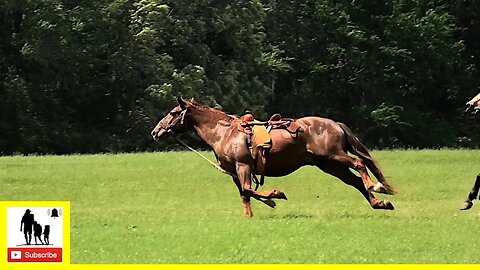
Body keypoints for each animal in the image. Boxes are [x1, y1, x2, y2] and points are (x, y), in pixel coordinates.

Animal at [152, 97, 396, 217]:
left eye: (173, 112)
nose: (155, 132)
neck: (224, 133)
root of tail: (335, 124)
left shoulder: (243, 166)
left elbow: (249, 189)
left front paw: (275, 196)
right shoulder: (234, 172)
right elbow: (245, 194)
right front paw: (250, 215)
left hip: (334, 157)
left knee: (360, 165)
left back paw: (376, 187)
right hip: (329, 165)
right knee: (355, 181)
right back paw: (380, 203)